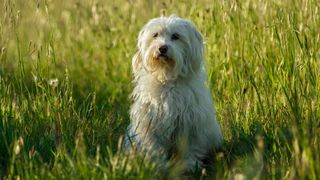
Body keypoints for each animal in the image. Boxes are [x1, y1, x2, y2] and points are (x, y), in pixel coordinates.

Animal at [124, 15, 224, 170]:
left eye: (175, 36)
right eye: (155, 35)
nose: (162, 48)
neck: (167, 78)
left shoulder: (191, 123)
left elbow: (190, 147)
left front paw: (190, 164)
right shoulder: (150, 123)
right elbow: (155, 147)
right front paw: (157, 164)